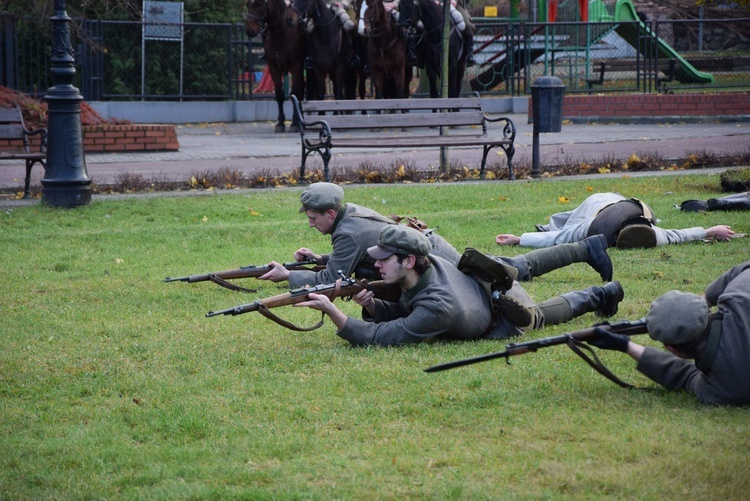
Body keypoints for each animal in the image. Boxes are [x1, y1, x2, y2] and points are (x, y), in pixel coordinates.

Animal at [247, 0, 306, 132]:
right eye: (248, 4)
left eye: (259, 4)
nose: (250, 30)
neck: (281, 33)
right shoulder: (273, 68)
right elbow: (279, 95)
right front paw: (280, 123)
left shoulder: (296, 67)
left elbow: (294, 93)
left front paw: (294, 123)